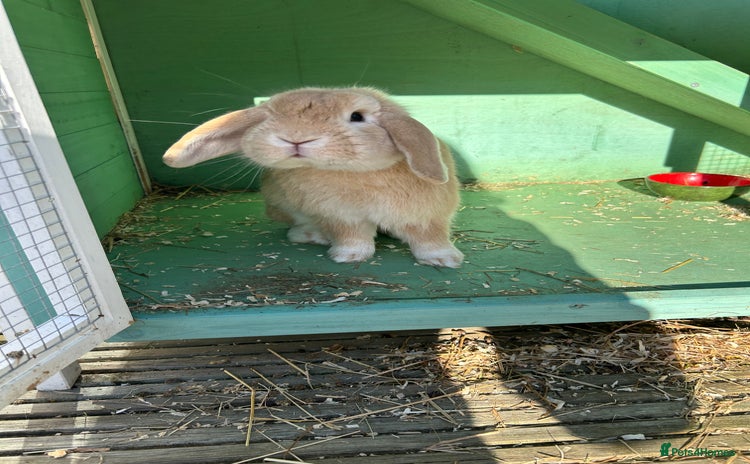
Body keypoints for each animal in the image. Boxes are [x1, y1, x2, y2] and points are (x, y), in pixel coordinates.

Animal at [163, 87, 464, 268]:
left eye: (357, 116)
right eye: (271, 116)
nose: (295, 138)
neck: (352, 175)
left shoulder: (426, 216)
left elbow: (430, 238)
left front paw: (447, 260)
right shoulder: (342, 217)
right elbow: (352, 236)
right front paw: (348, 256)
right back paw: (312, 235)